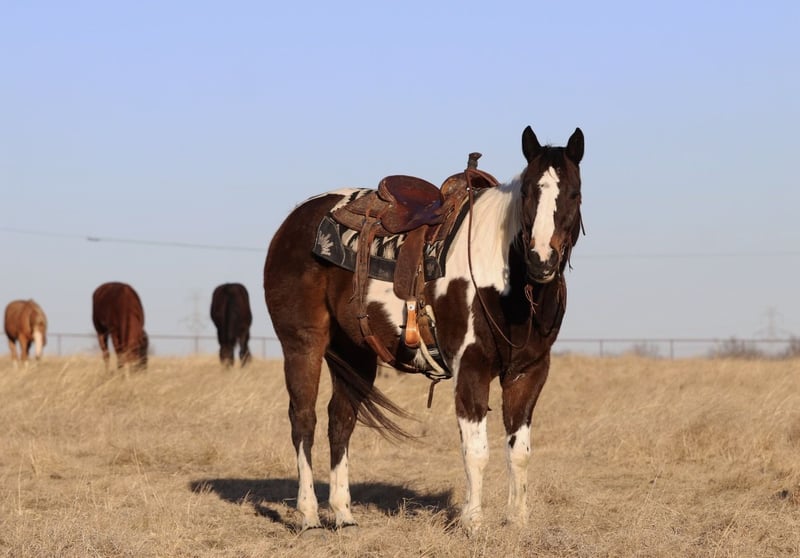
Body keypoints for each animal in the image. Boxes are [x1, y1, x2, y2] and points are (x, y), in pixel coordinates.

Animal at [263, 125, 584, 534]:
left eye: (574, 193)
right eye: (527, 192)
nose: (541, 260)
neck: (506, 282)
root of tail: (293, 221)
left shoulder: (528, 372)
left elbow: (520, 452)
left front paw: (517, 521)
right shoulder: (471, 366)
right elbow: (476, 451)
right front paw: (473, 523)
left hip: (356, 353)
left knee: (341, 420)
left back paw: (344, 514)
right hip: (303, 344)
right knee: (304, 419)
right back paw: (308, 515)